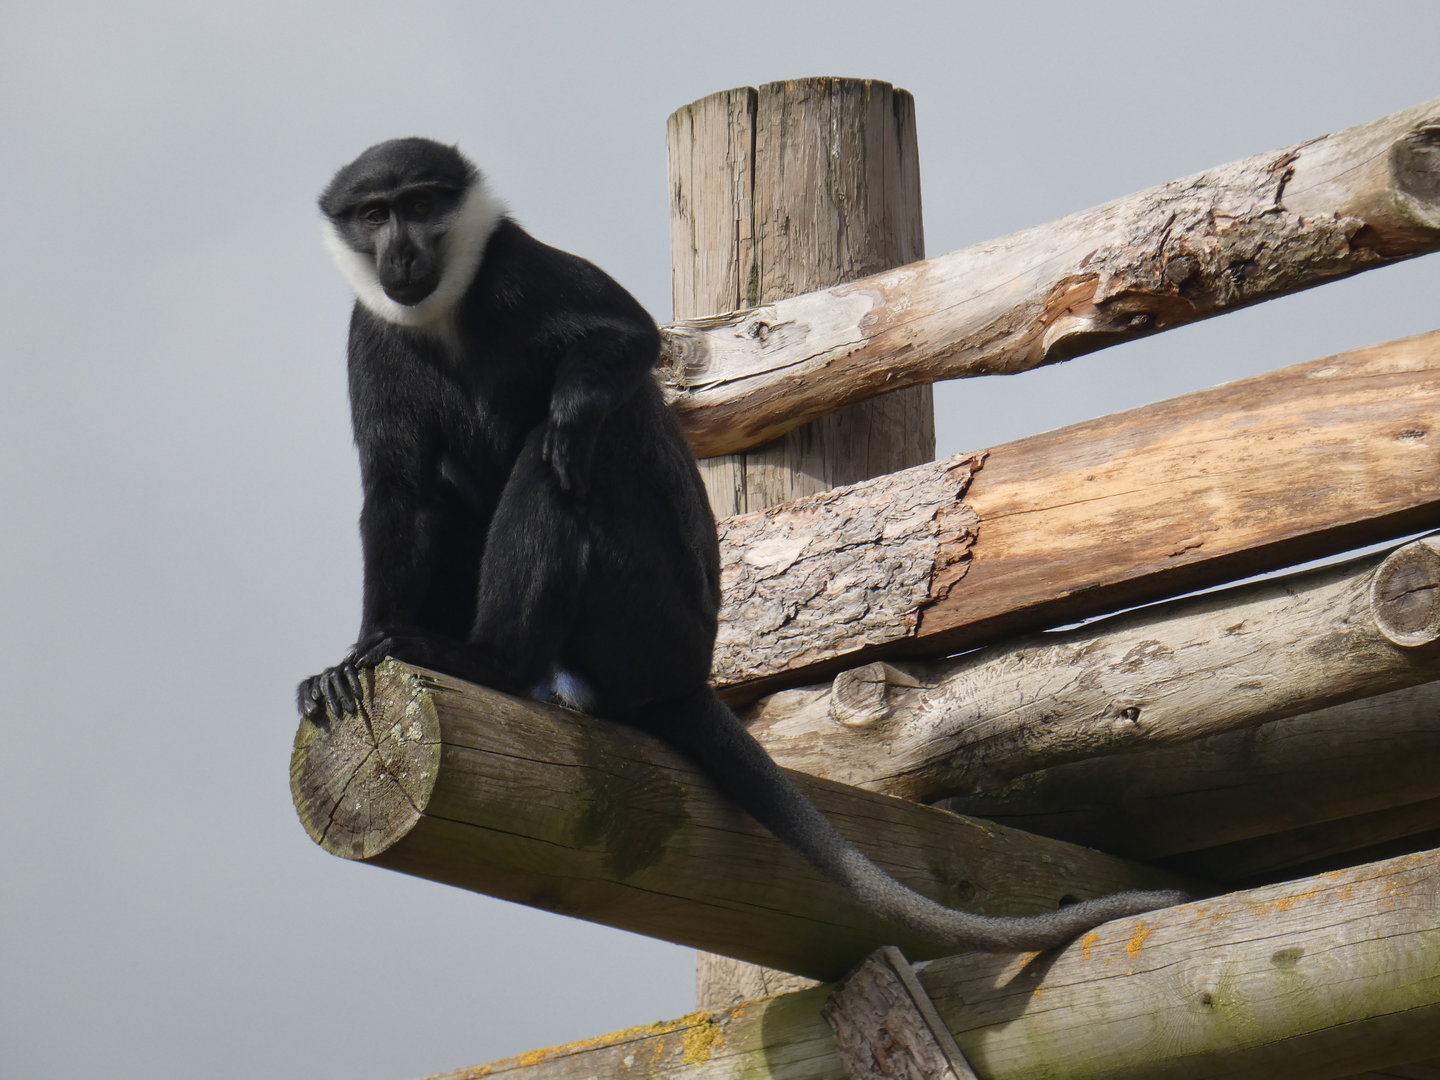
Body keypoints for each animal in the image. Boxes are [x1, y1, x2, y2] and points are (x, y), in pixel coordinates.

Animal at [297, 137, 1188, 952]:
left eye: (420, 204)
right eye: (372, 214)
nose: (401, 251)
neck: (446, 315)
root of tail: (687, 675)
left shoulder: (517, 266)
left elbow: (629, 339)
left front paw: (574, 409)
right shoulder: (368, 335)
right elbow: (401, 490)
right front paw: (359, 653)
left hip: (646, 620)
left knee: (572, 461)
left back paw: (496, 660)